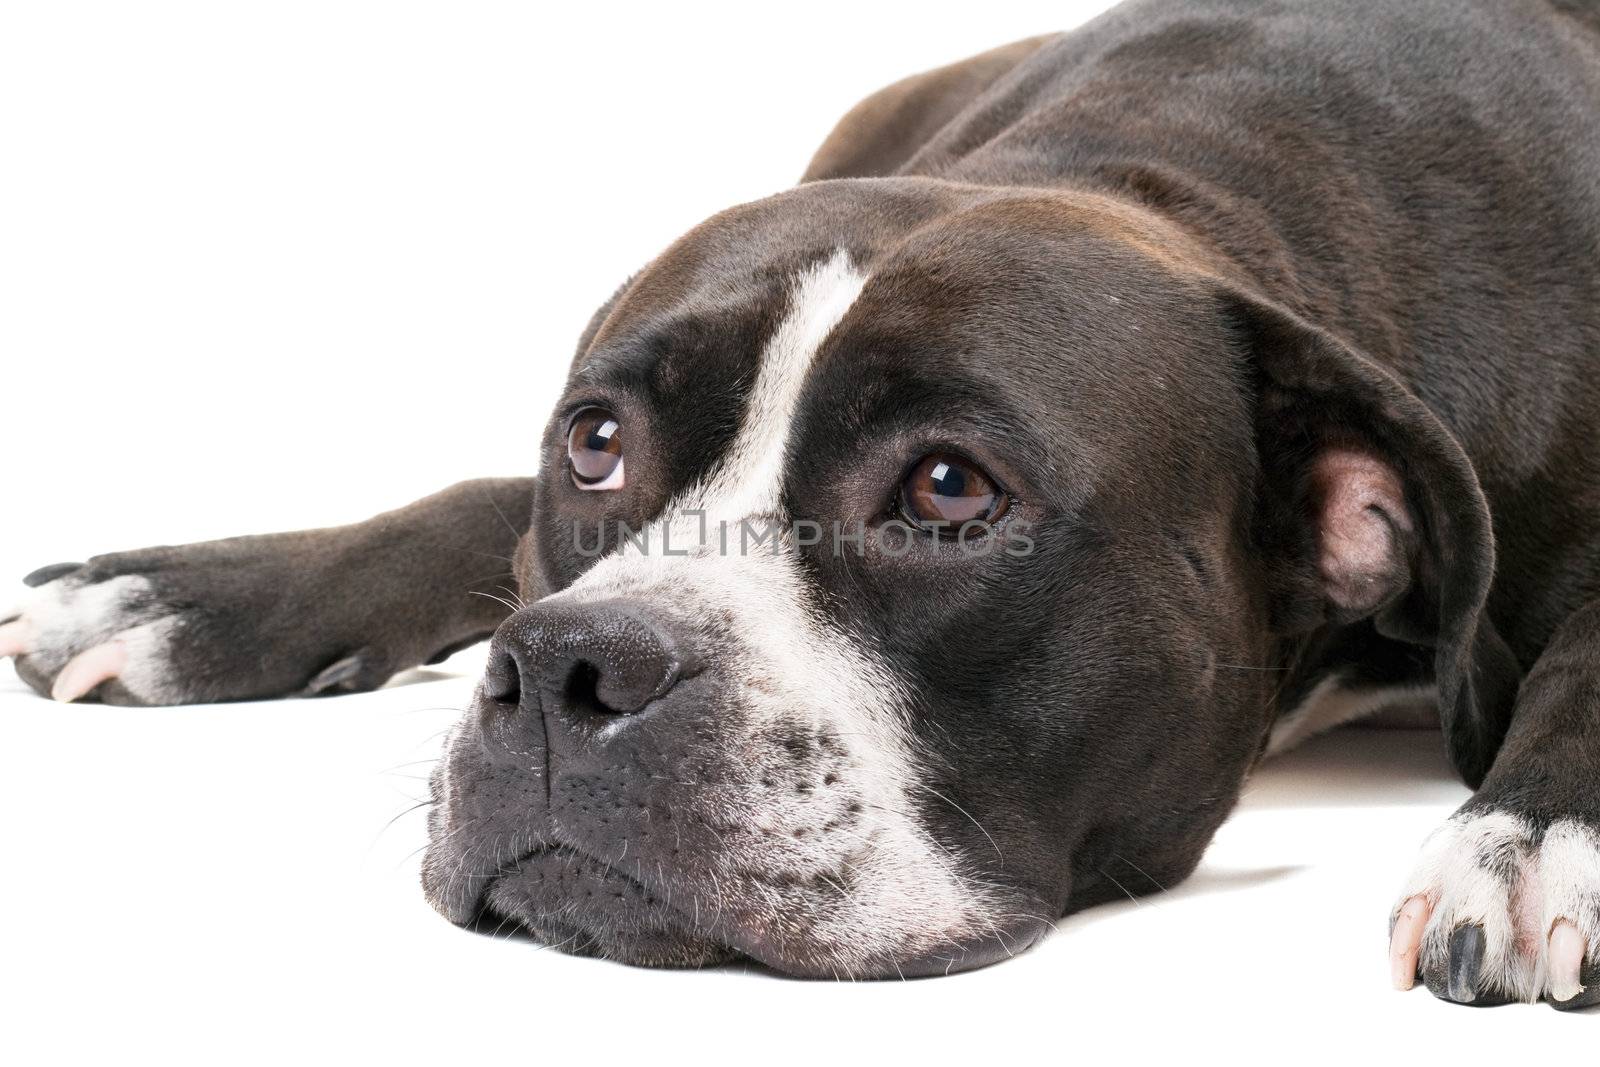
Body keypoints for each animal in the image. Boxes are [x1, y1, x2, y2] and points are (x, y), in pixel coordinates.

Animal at [3, 0, 1600, 1004]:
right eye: (593, 444)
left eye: (949, 487)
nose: (565, 665)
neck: (1202, 177)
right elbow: (482, 496)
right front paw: (189, 589)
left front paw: (1527, 838)